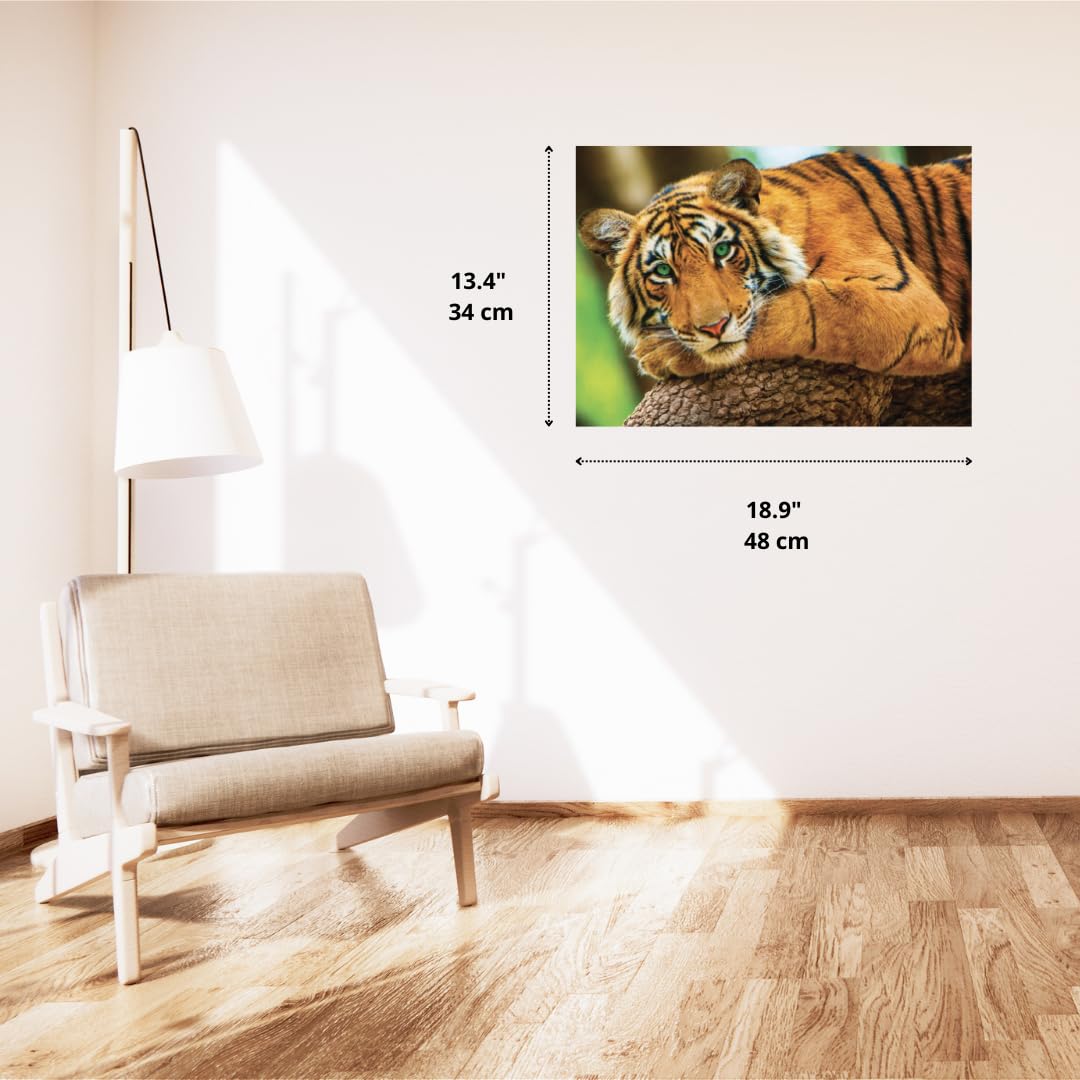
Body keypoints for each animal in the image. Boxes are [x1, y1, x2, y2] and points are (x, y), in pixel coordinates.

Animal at [578, 151, 971, 380]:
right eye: (662, 271)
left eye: (722, 250)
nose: (713, 327)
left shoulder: (908, 300)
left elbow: (808, 308)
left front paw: (663, 351)